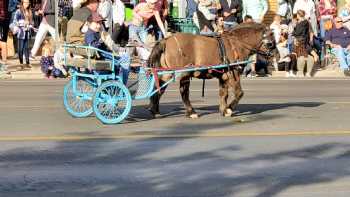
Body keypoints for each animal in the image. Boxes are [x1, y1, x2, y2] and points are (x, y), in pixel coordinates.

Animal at [146, 23, 274, 118]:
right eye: (270, 43)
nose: (272, 58)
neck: (236, 44)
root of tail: (166, 40)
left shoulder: (223, 76)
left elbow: (224, 94)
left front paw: (223, 110)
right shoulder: (233, 74)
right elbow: (239, 93)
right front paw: (229, 109)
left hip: (167, 72)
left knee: (159, 88)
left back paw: (155, 110)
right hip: (182, 73)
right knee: (183, 92)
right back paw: (191, 112)